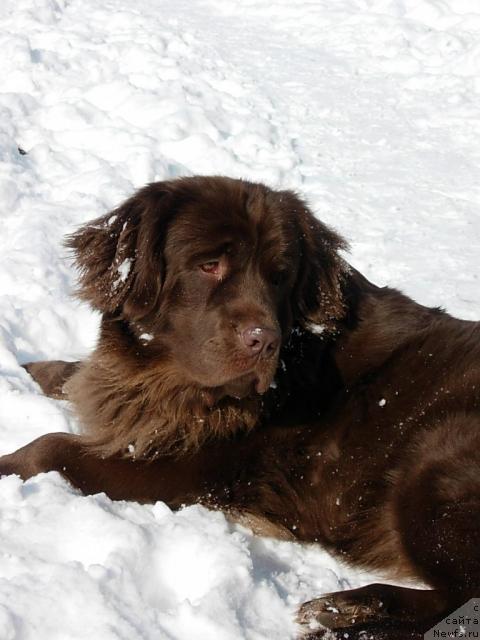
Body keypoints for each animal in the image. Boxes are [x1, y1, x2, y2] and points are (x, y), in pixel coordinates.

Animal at [0, 176, 480, 640]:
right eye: (209, 265)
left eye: (279, 277)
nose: (263, 341)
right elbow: (79, 376)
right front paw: (29, 370)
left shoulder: (187, 470)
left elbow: (52, 446)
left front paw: (8, 462)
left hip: (434, 456)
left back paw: (343, 614)